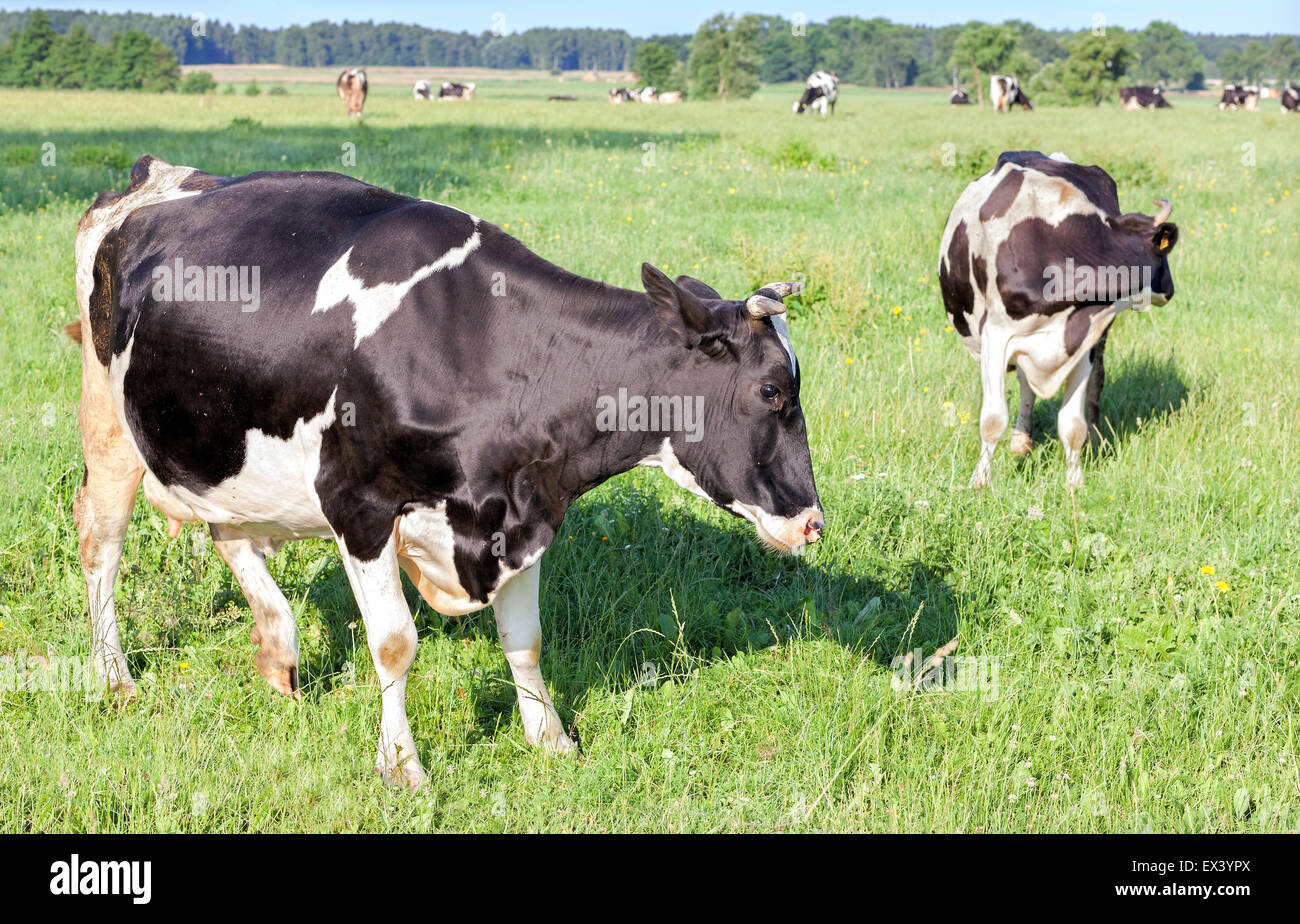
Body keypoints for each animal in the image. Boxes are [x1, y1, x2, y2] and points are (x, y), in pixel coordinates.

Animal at [68, 155, 821, 790]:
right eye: (772, 391)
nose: (814, 523)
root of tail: (153, 177)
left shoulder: (522, 508)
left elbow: (525, 638)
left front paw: (550, 740)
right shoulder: (359, 503)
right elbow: (395, 643)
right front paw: (402, 767)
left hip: (219, 444)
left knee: (228, 531)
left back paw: (279, 651)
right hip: (108, 419)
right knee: (100, 541)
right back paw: (115, 678)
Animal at [941, 150, 1185, 491]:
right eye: (1164, 257)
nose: (1171, 289)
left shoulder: (1082, 338)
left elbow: (1072, 424)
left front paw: (1074, 483)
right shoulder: (996, 336)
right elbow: (992, 419)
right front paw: (980, 481)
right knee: (1024, 383)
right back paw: (1021, 440)